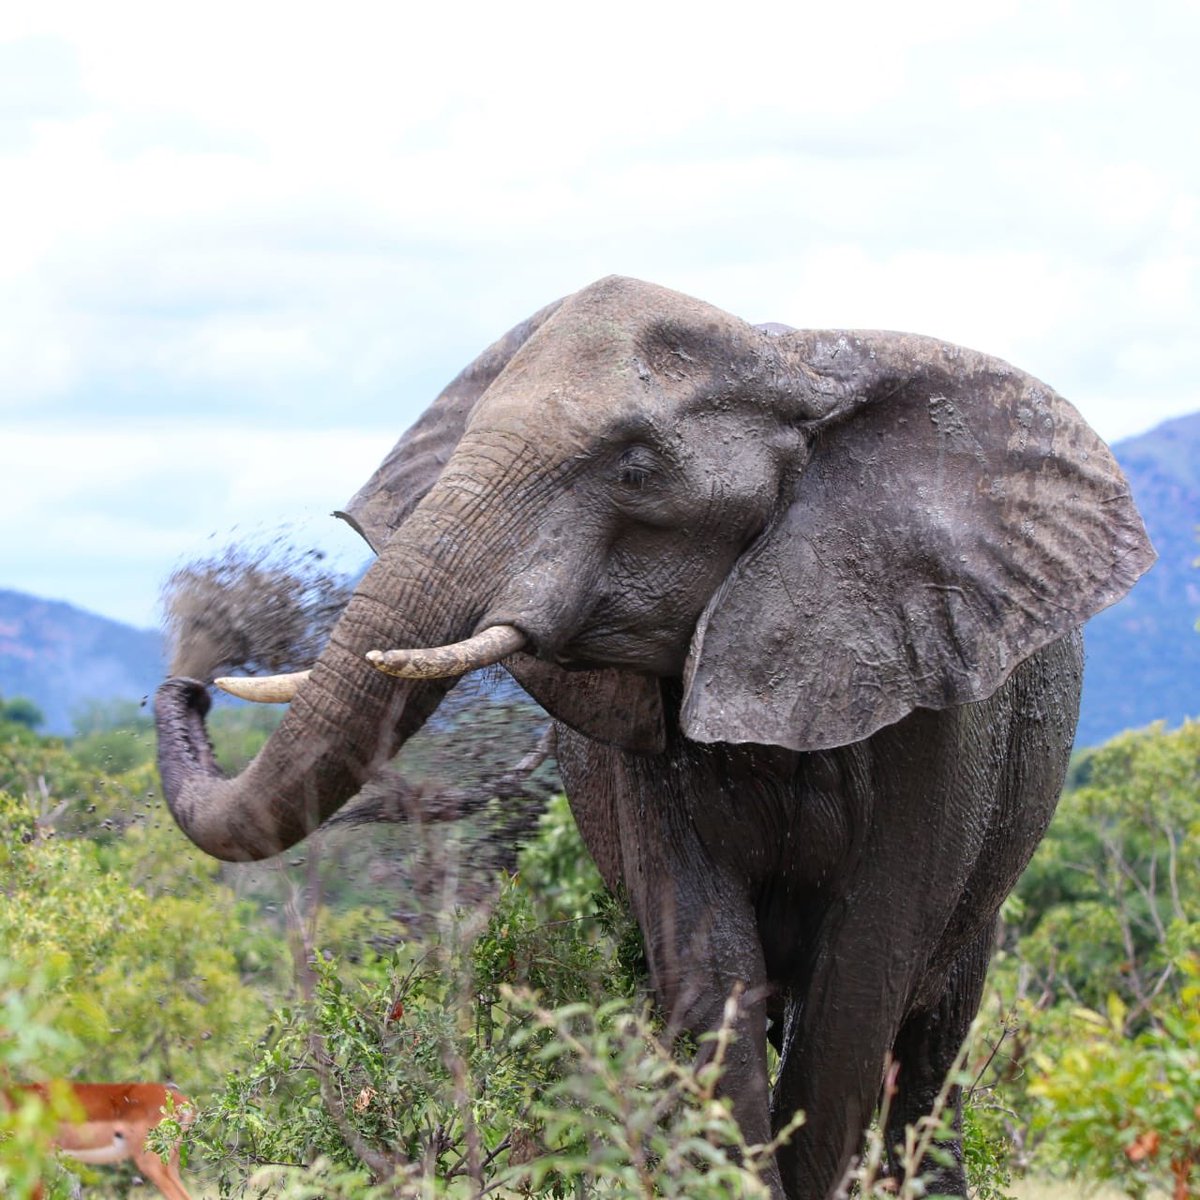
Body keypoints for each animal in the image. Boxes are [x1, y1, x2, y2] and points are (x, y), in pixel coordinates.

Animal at [152, 278, 1152, 1200]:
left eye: (636, 471)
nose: (196, 663)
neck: (794, 367)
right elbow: (711, 971)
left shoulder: (935, 706)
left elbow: (860, 988)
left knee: (934, 1040)